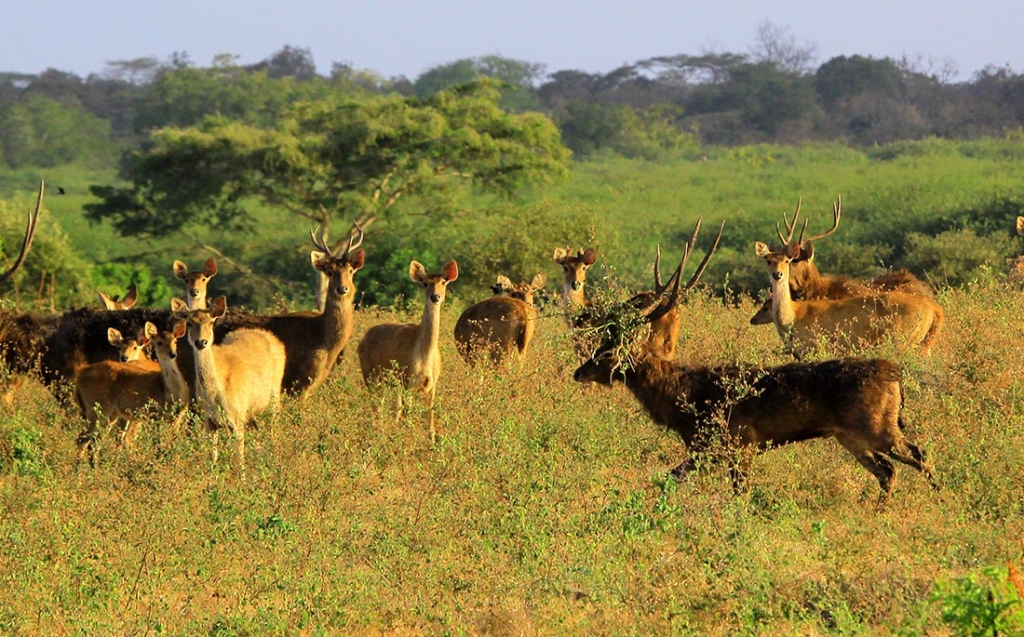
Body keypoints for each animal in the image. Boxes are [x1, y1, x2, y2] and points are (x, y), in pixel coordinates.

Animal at [176, 296, 286, 471]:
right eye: (189, 323)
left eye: (211, 322)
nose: (201, 342)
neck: (217, 394)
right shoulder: (209, 421)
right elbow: (212, 457)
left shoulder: (237, 416)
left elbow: (239, 460)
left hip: (274, 396)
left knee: (274, 429)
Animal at [573, 222, 937, 501]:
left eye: (608, 350)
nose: (579, 372)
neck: (683, 396)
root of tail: (894, 374)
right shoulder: (706, 448)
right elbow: (671, 478)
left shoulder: (737, 443)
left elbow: (734, 492)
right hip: (848, 435)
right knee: (887, 470)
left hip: (876, 426)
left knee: (919, 455)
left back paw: (939, 498)